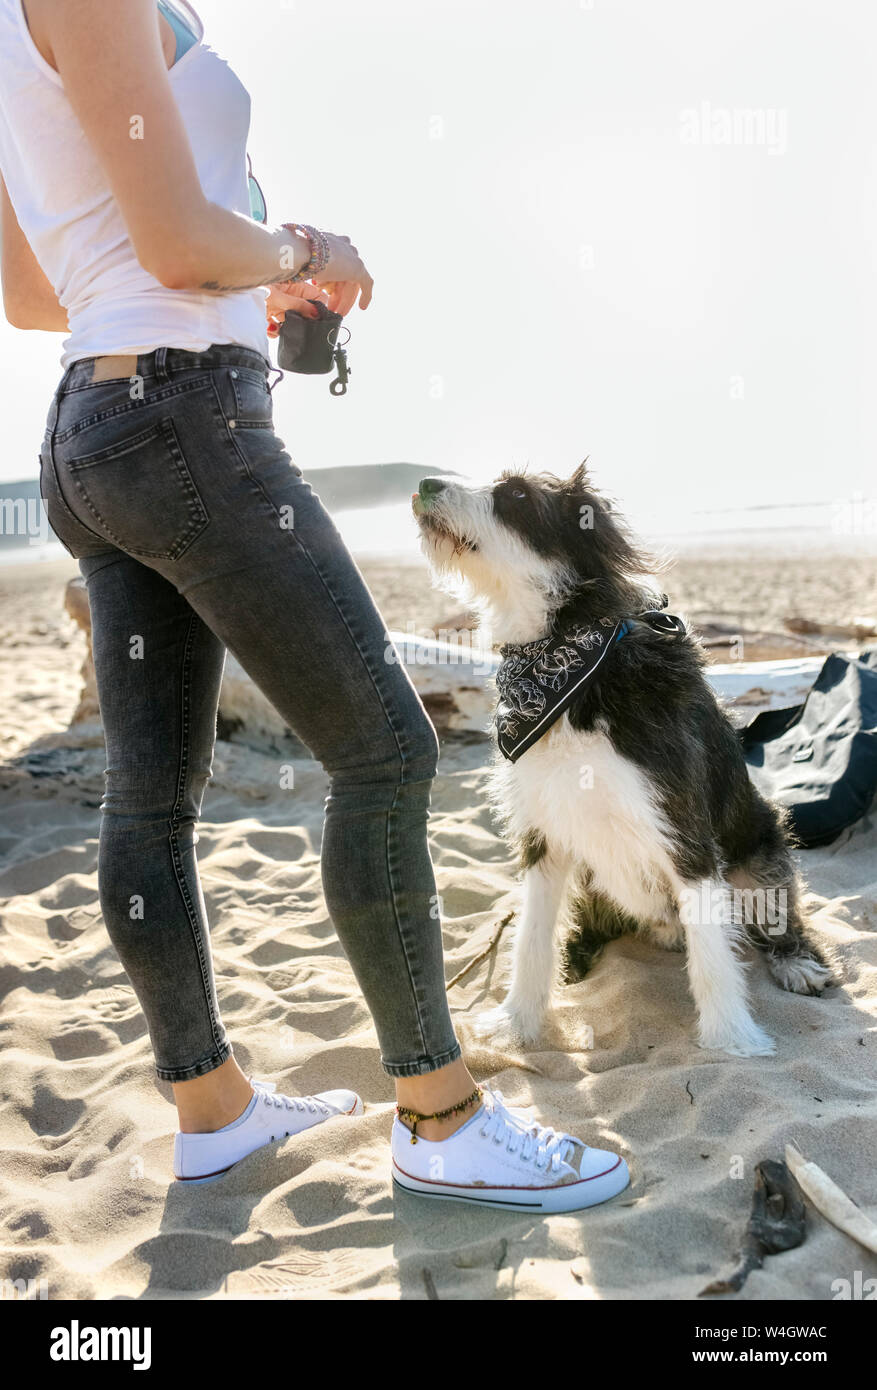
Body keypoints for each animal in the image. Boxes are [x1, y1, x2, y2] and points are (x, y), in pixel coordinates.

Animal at [414, 461, 833, 1056]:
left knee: (778, 912)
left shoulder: (683, 828)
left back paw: (796, 962)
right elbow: (531, 938)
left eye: (515, 494)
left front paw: (731, 1039)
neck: (565, 657)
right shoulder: (543, 831)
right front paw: (517, 1023)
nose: (424, 485)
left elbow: (713, 955)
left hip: (760, 852)